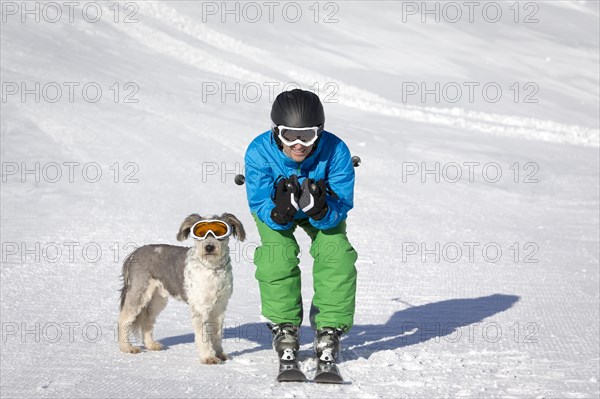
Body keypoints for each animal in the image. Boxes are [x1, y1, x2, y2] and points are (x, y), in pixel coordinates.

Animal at [118, 214, 245, 364]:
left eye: (219, 232)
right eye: (200, 233)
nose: (209, 247)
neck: (212, 270)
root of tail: (133, 254)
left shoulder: (219, 307)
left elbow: (217, 333)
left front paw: (219, 354)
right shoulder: (200, 308)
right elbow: (203, 336)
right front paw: (208, 357)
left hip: (157, 299)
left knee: (147, 321)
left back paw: (151, 345)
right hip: (139, 293)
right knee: (123, 319)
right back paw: (127, 347)